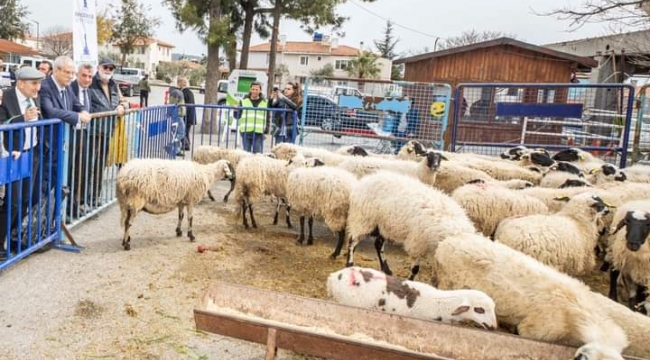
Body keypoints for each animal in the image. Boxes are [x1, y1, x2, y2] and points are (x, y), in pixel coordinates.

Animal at [342, 170, 474, 280]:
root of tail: (363, 181)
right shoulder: (417, 243)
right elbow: (415, 269)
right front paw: (410, 281)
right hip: (363, 219)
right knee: (352, 241)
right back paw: (349, 264)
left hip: (384, 225)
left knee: (378, 244)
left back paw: (387, 270)